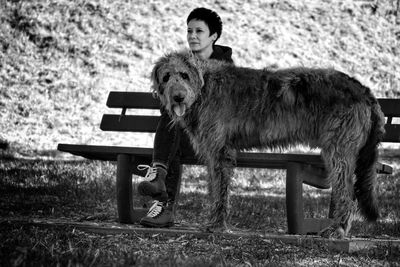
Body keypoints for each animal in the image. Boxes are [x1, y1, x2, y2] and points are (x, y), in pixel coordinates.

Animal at [149, 50, 384, 239]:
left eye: (184, 75)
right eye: (166, 77)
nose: (178, 98)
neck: (205, 86)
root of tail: (364, 90)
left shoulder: (220, 151)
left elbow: (220, 190)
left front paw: (217, 225)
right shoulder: (214, 154)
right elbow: (215, 188)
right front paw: (215, 222)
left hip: (339, 149)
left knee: (347, 194)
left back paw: (338, 229)